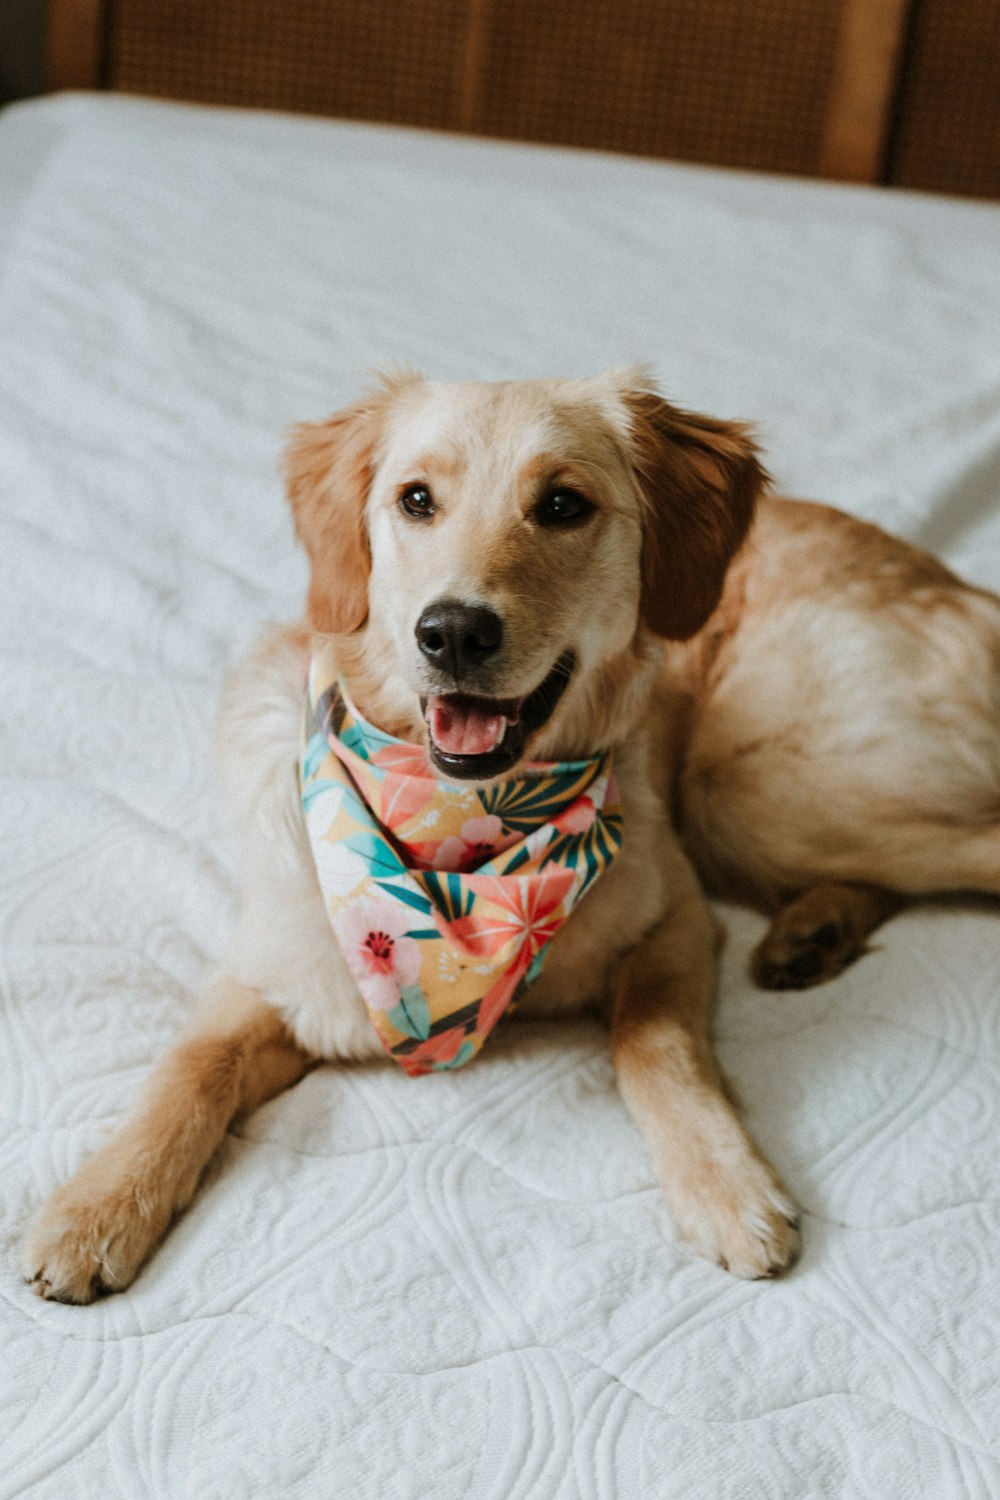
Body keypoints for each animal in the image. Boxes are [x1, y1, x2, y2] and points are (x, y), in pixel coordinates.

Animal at [21, 366, 1000, 1302]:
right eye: (416, 499)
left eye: (563, 504)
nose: (453, 632)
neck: (477, 827)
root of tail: (965, 586)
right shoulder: (282, 977)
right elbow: (188, 1070)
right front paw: (94, 1209)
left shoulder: (679, 917)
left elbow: (653, 1043)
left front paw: (723, 1185)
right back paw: (813, 930)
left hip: (753, 786)